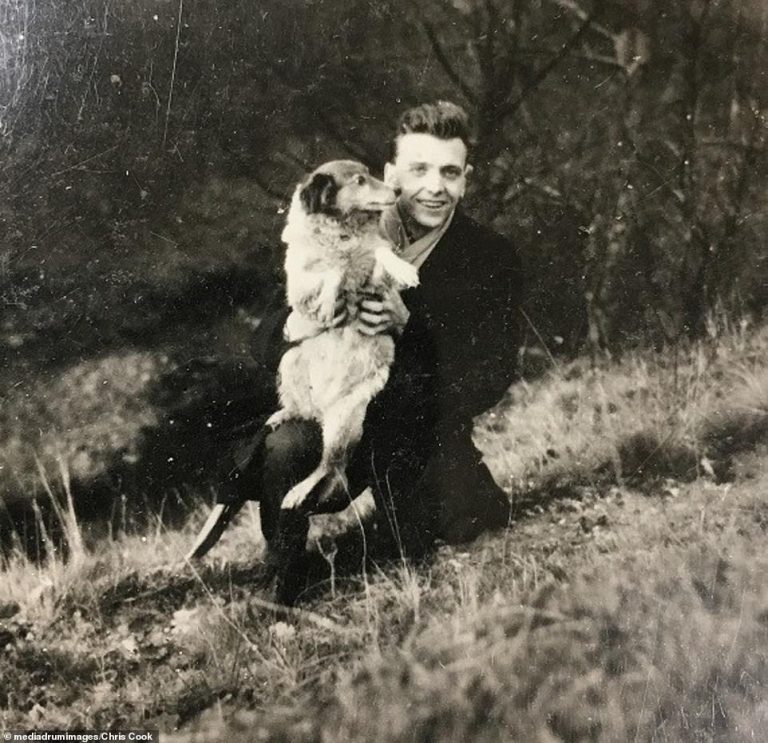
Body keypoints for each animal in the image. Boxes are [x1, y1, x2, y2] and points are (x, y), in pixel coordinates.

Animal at [268, 160, 416, 516]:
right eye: (360, 181)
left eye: (370, 175)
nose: (397, 190)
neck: (342, 231)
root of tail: (324, 410)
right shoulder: (299, 287)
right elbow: (333, 271)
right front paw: (327, 298)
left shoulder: (375, 278)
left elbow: (378, 254)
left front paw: (404, 270)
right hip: (292, 359)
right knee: (307, 421)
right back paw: (286, 415)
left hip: (344, 419)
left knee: (331, 465)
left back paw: (298, 492)